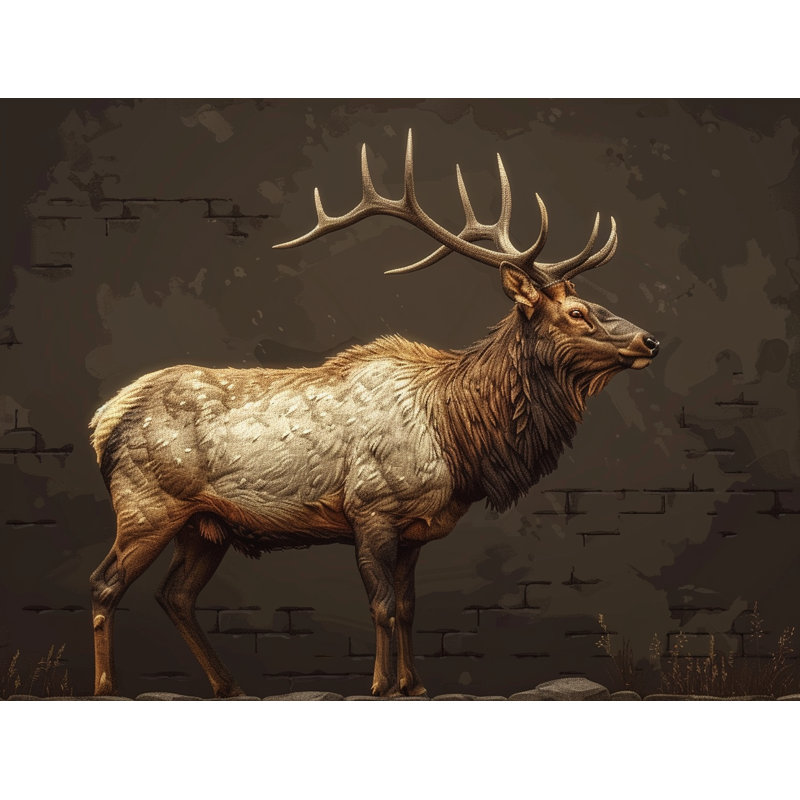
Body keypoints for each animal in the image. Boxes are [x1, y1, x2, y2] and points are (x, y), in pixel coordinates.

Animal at [88, 130, 660, 698]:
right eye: (577, 313)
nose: (650, 340)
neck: (459, 441)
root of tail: (103, 420)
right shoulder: (371, 509)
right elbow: (382, 606)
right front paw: (382, 684)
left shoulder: (414, 530)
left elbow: (407, 608)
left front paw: (415, 685)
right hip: (146, 504)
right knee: (104, 584)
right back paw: (105, 686)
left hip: (204, 525)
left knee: (175, 594)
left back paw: (228, 685)